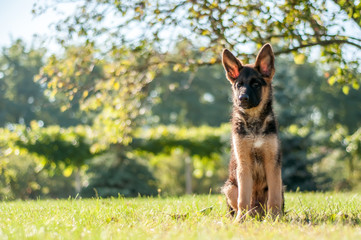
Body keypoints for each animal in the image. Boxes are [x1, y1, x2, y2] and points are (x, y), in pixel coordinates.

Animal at [219, 44, 284, 220]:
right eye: (239, 85)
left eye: (256, 85)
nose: (242, 98)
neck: (254, 121)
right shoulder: (244, 164)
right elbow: (243, 198)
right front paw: (240, 221)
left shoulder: (272, 164)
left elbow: (274, 198)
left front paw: (275, 219)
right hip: (229, 186)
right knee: (242, 204)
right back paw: (244, 216)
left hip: (281, 186)